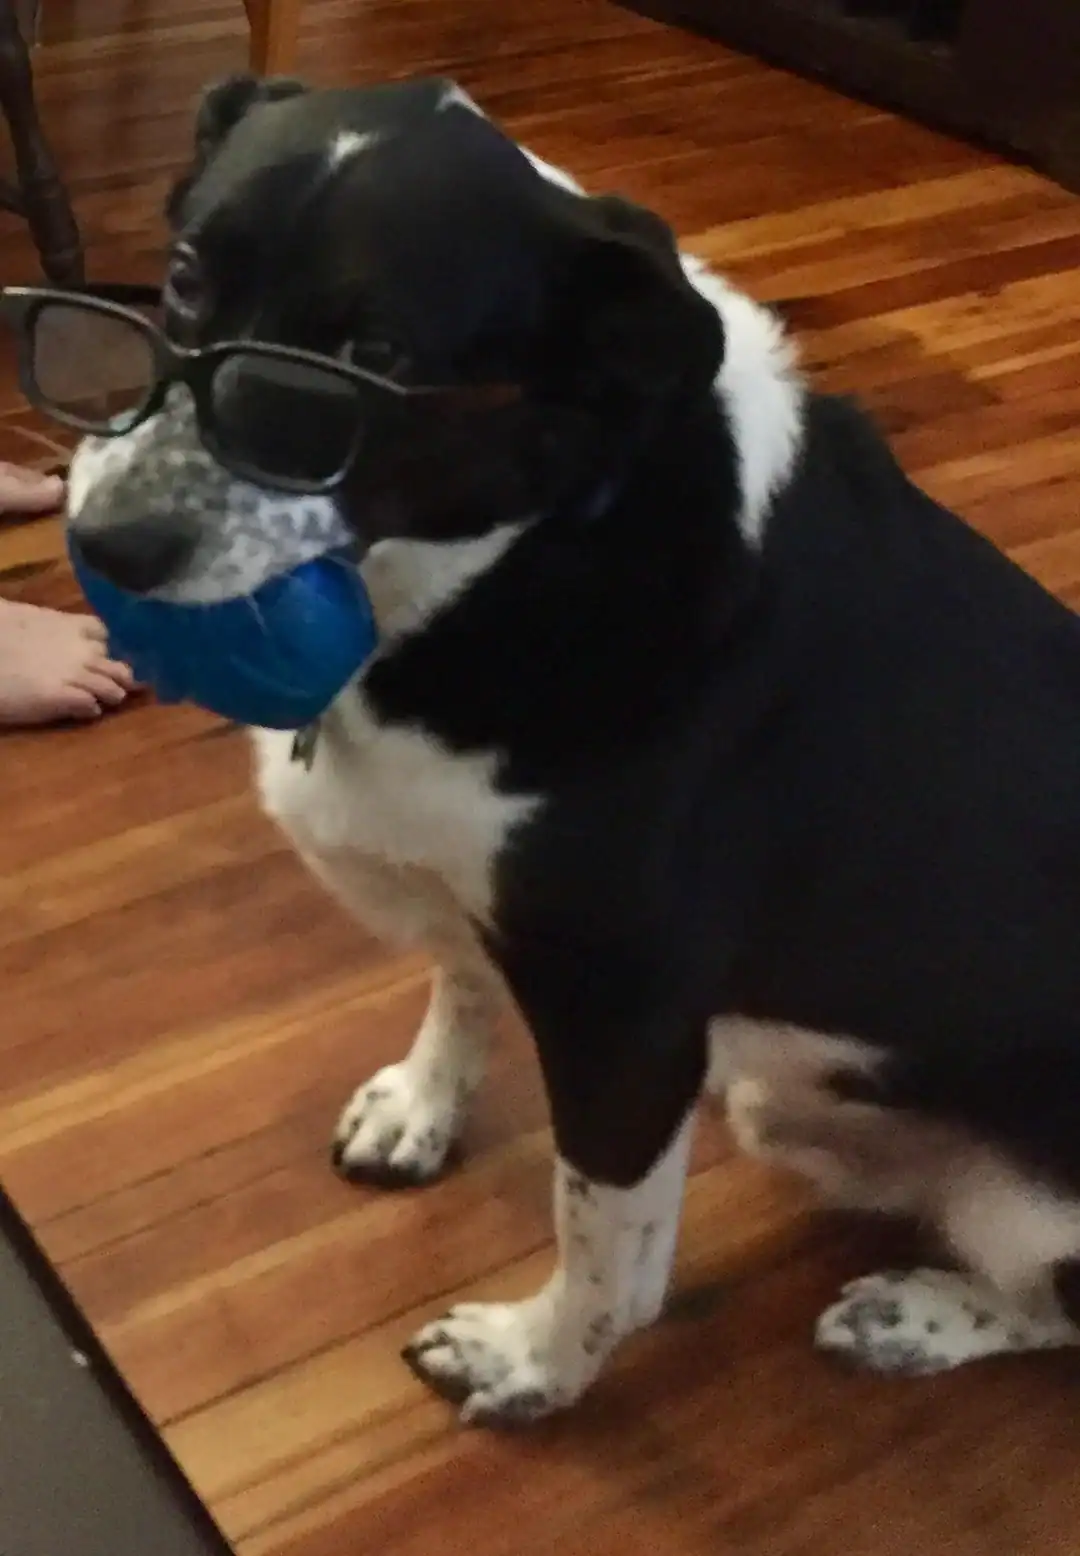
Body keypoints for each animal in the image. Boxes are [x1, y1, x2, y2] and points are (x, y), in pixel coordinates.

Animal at [67, 73, 1080, 1424]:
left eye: (374, 359)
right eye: (182, 278)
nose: (108, 542)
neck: (519, 554)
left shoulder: (628, 1024)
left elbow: (610, 1251)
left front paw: (532, 1362)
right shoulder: (485, 907)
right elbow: (459, 981)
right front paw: (422, 1105)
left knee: (1054, 1307)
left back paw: (918, 1314)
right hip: (785, 1098)